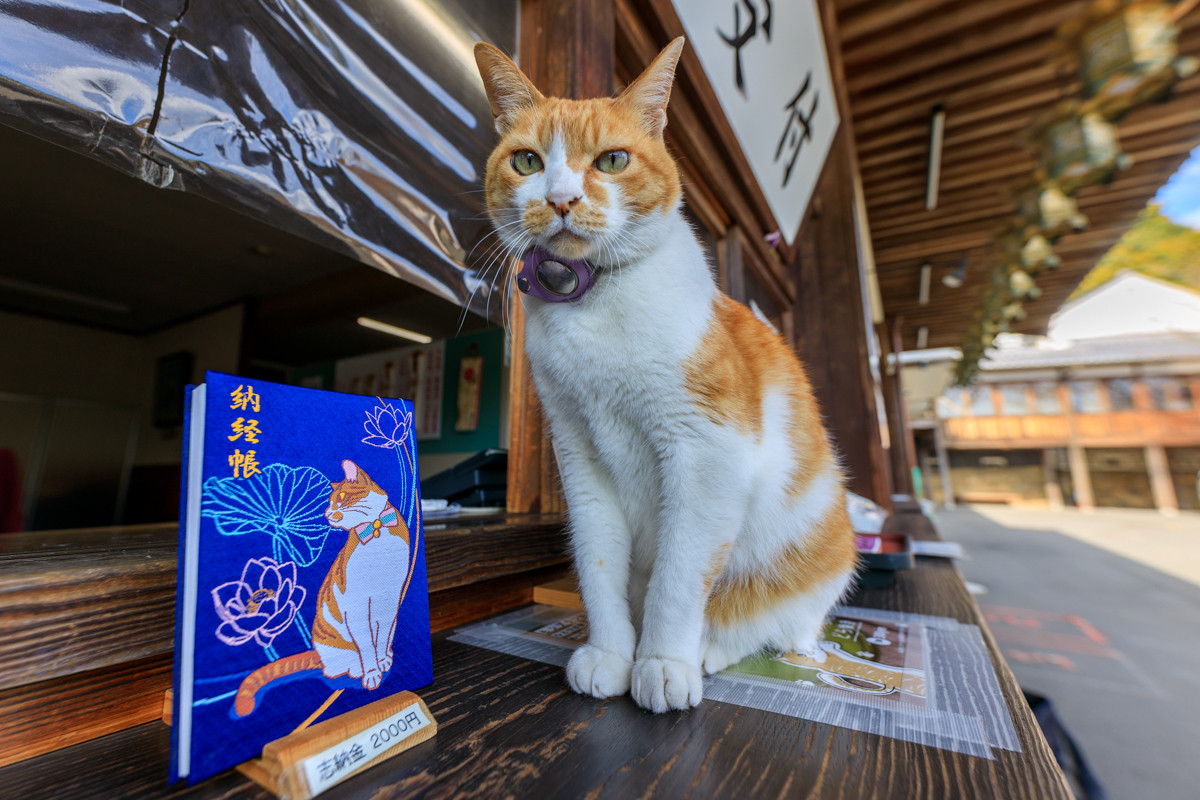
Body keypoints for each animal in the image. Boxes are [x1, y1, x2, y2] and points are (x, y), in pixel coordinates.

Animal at [231, 460, 415, 714]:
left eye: (341, 498)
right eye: (328, 503)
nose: (327, 513)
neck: (377, 531)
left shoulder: (390, 597)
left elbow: (383, 634)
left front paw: (383, 660)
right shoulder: (356, 606)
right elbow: (367, 644)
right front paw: (371, 672)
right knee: (335, 666)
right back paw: (356, 668)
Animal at [472, 38, 859, 714]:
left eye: (613, 159)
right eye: (525, 161)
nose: (561, 199)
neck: (596, 306)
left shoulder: (707, 451)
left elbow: (679, 576)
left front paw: (660, 662)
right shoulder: (580, 458)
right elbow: (598, 565)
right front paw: (610, 652)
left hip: (814, 561)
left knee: (778, 627)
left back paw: (711, 646)